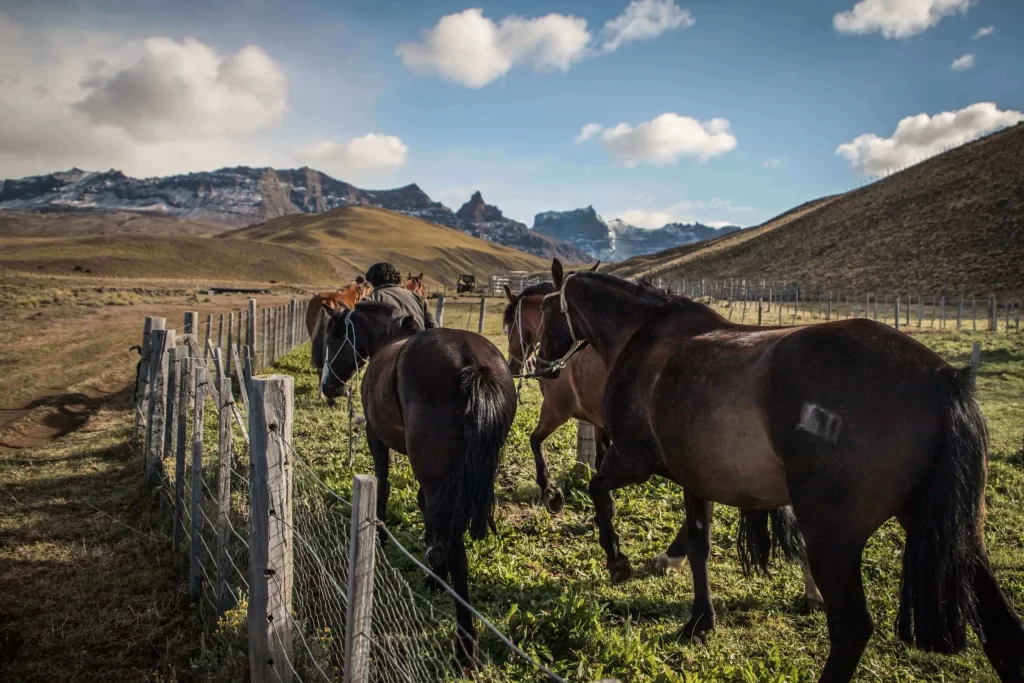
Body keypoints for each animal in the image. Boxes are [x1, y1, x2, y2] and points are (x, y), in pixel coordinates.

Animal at [319, 300, 517, 670]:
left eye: (330, 338)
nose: (328, 386)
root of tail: (472, 363)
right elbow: (424, 505)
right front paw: (428, 552)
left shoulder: (376, 437)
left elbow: (383, 486)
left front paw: (381, 536)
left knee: (455, 547)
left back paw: (463, 646)